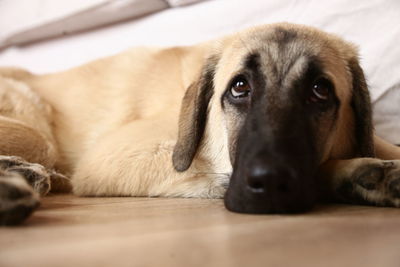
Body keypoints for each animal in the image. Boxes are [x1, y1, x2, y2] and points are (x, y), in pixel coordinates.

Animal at [0, 22, 400, 224]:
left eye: (320, 90)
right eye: (239, 87)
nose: (270, 183)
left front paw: (369, 174)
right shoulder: (114, 157)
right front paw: (357, 174)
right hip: (35, 131)